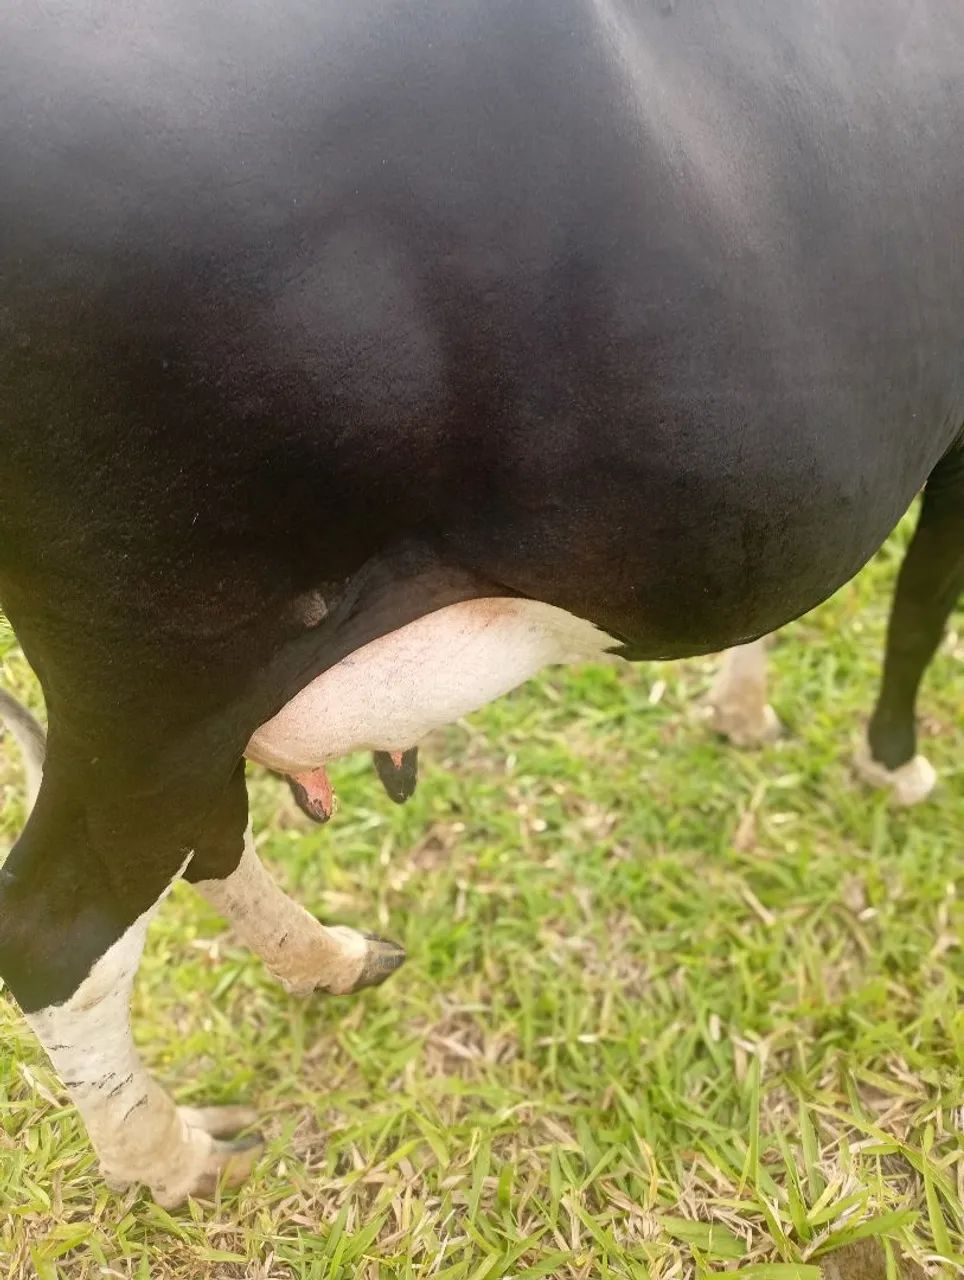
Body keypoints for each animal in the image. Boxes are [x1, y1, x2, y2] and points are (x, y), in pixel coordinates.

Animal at [0, 0, 962, 1208]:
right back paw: (170, 1157)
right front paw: (894, 762)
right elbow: (922, 604)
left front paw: (744, 710)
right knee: (55, 932)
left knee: (203, 845)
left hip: (170, 701)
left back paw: (329, 960)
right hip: (161, 672)